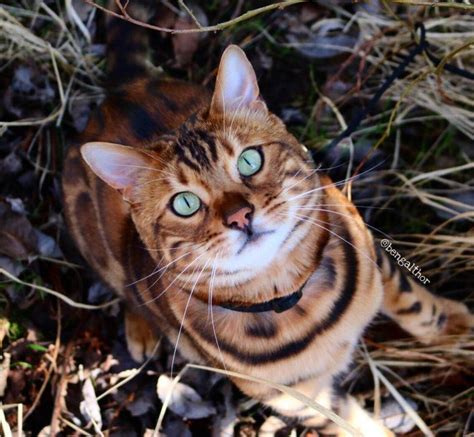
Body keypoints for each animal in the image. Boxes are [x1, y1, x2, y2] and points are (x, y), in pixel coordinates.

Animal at [61, 2, 472, 432]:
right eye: (185, 203)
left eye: (249, 160)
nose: (240, 216)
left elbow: (417, 305)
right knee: (124, 287)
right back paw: (140, 329)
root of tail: (124, 90)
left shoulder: (368, 246)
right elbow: (356, 426)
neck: (297, 296)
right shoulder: (302, 399)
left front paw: (457, 328)